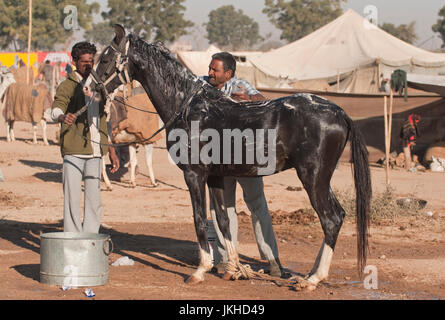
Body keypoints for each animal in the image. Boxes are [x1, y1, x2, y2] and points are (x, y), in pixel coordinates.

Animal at [87, 25, 372, 288]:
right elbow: (223, 221)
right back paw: (309, 274)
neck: (189, 107)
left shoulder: (194, 175)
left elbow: (200, 220)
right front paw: (234, 269)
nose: (89, 87)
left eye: (106, 58)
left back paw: (313, 279)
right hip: (321, 179)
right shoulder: (216, 176)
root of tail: (339, 112)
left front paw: (200, 270)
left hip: (313, 177)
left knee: (331, 219)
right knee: (336, 216)